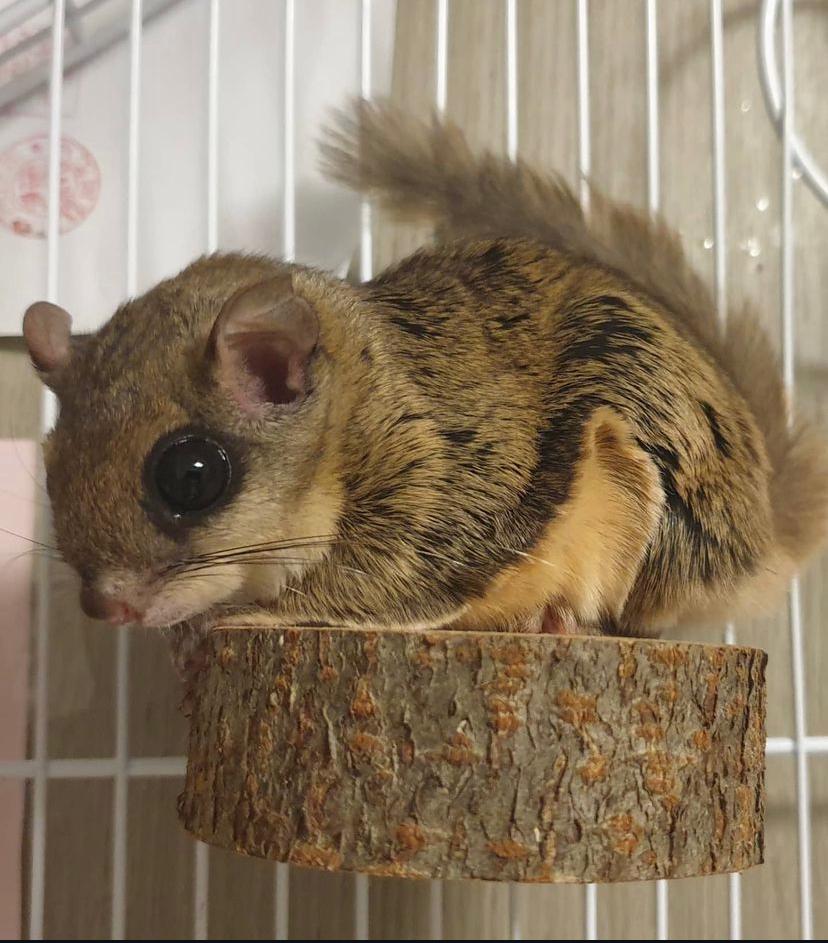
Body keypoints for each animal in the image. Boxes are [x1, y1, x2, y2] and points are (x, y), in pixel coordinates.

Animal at [22, 99, 828, 660]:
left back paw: (559, 616)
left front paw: (220, 618)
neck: (357, 408)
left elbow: (372, 585)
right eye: (49, 466)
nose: (106, 610)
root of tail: (765, 527)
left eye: (190, 474)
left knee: (641, 617)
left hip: (651, 485)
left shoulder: (436, 489)